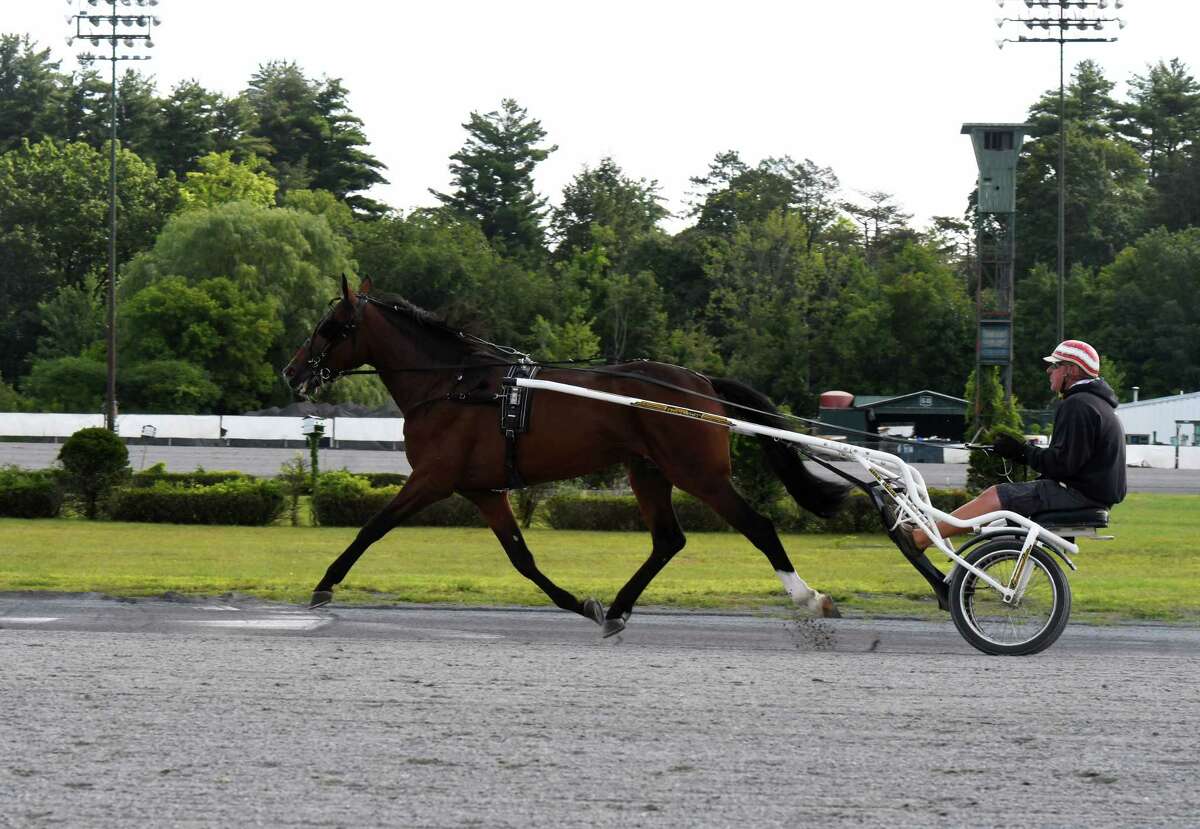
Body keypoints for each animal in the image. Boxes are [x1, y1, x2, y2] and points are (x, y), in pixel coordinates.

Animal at [282, 273, 849, 633]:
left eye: (328, 327)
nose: (292, 371)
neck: (455, 385)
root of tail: (703, 383)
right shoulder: (483, 489)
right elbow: (522, 558)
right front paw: (581, 604)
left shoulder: (433, 477)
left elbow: (371, 528)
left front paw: (324, 586)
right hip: (647, 470)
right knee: (668, 540)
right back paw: (617, 609)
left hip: (696, 472)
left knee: (757, 526)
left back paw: (809, 597)